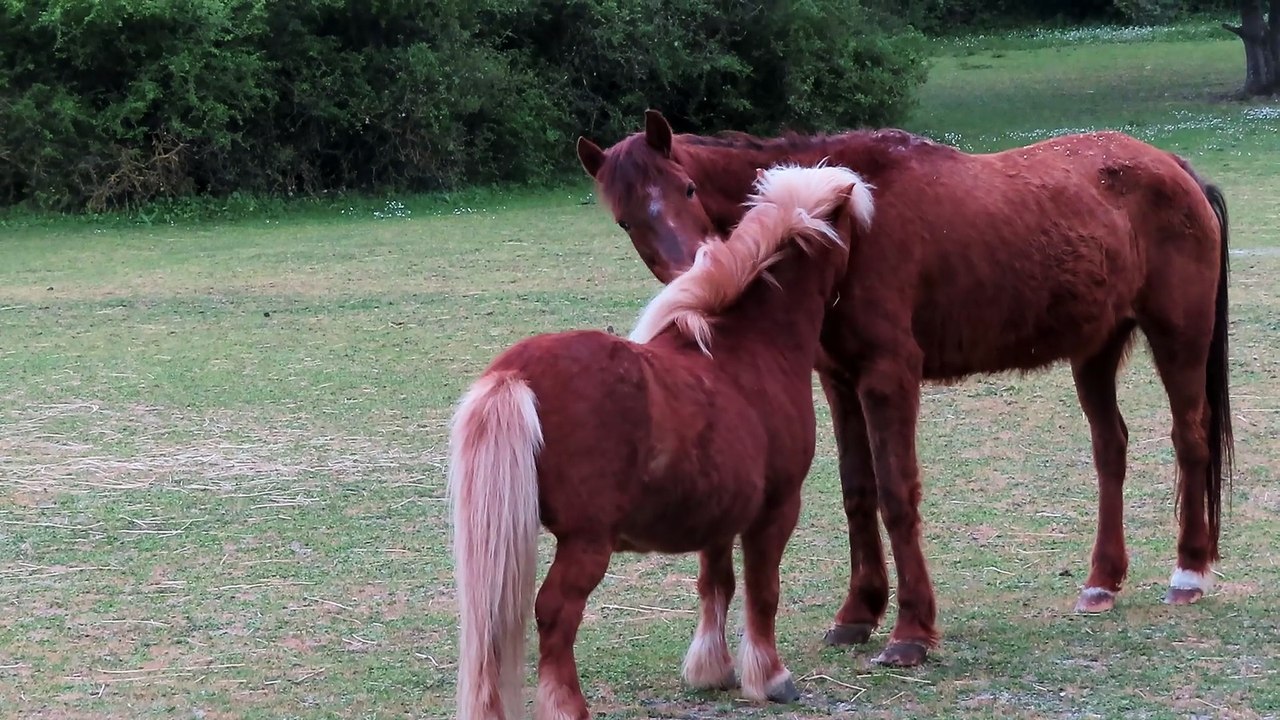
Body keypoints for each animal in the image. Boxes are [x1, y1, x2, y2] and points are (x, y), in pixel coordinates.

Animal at [449, 164, 876, 719]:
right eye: (853, 233)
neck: (749, 346)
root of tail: (515, 374)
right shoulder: (776, 509)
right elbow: (763, 591)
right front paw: (771, 678)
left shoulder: (721, 515)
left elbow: (716, 585)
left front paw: (712, 671)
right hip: (586, 544)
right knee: (555, 614)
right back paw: (568, 706)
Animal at [575, 109, 1234, 668]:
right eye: (626, 219)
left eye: (687, 189)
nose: (693, 271)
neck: (846, 222)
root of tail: (1174, 165)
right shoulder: (839, 381)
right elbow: (858, 492)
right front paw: (858, 613)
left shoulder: (889, 376)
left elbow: (896, 494)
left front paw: (911, 631)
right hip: (1094, 350)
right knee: (1111, 450)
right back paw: (1102, 582)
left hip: (1177, 337)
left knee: (1191, 439)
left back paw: (1189, 573)